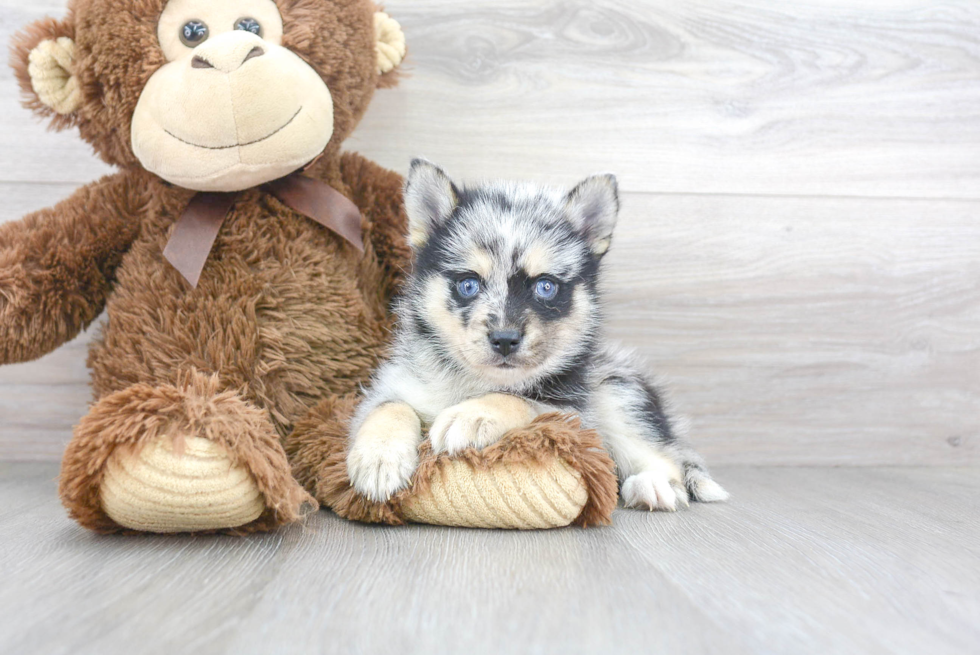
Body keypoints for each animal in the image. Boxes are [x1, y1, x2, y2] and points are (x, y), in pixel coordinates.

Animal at [346, 160, 728, 512]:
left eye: (545, 286)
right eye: (468, 284)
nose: (504, 339)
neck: (473, 382)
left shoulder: (571, 415)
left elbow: (517, 400)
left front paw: (472, 415)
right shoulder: (396, 385)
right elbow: (390, 406)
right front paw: (379, 458)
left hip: (617, 392)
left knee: (666, 460)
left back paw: (653, 486)